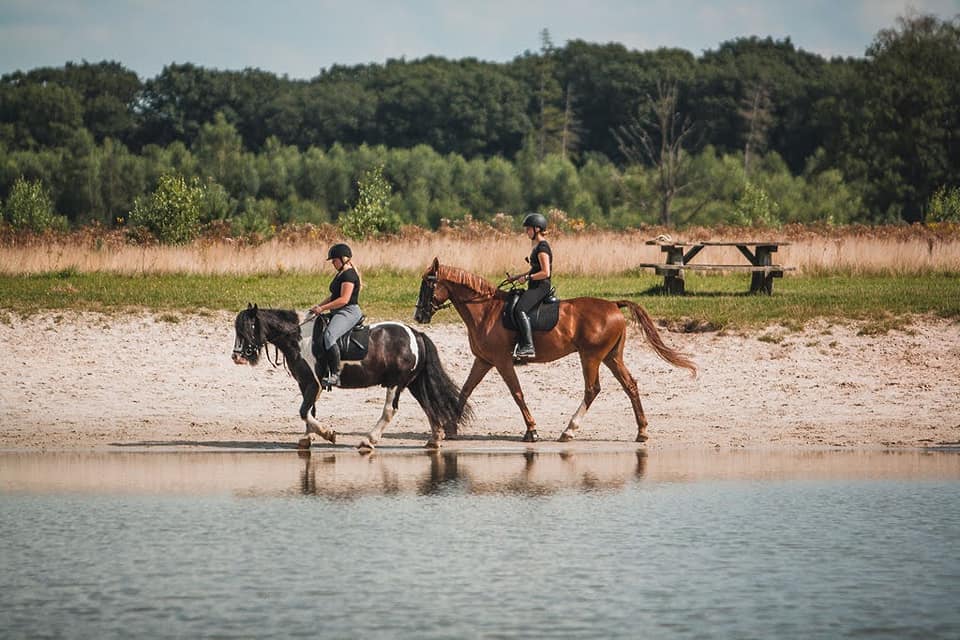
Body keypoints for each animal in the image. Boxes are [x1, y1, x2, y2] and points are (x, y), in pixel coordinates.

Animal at [232, 304, 470, 450]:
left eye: (249, 327)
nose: (237, 357)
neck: (298, 338)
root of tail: (416, 333)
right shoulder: (305, 383)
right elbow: (309, 411)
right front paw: (307, 439)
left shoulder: (314, 384)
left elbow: (303, 411)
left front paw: (328, 433)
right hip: (413, 383)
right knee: (428, 406)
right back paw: (435, 439)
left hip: (395, 383)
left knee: (389, 410)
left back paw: (368, 441)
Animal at [414, 258, 697, 443]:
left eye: (428, 284)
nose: (419, 315)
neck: (485, 311)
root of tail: (614, 305)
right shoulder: (483, 360)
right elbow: (465, 390)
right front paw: (448, 426)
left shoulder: (502, 361)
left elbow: (517, 393)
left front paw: (532, 431)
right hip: (611, 357)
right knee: (630, 386)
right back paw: (642, 432)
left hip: (591, 356)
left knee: (592, 389)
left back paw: (569, 431)